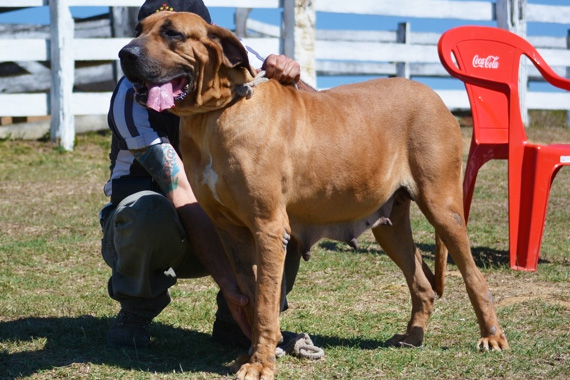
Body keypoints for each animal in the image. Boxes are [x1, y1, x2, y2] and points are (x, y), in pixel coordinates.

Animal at [118, 11, 506, 380]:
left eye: (172, 33)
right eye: (138, 29)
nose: (125, 53)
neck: (216, 114)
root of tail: (433, 95)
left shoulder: (268, 227)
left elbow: (265, 302)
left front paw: (260, 363)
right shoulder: (232, 232)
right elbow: (251, 294)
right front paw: (254, 351)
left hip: (442, 206)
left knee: (473, 275)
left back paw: (491, 336)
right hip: (390, 225)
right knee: (422, 284)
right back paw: (412, 336)